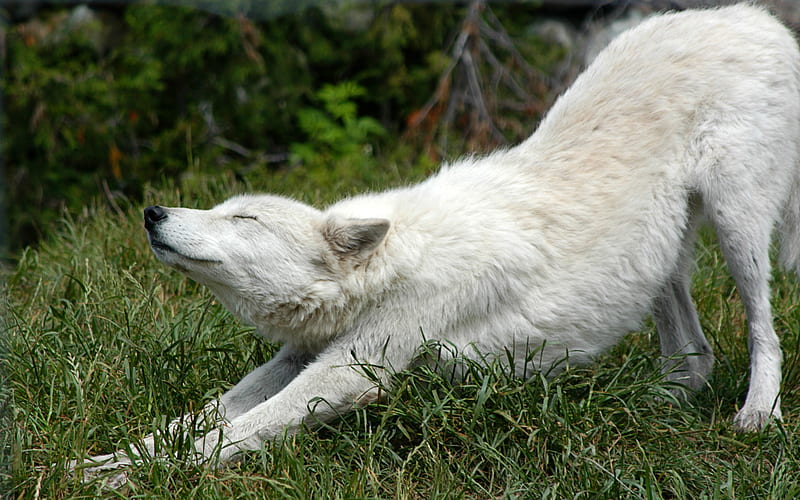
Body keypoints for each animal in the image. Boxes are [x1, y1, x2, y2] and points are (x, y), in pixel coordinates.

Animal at [78, 3, 796, 484]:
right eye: (220, 208)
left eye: (244, 219)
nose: (152, 211)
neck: (393, 267)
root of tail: (756, 17)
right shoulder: (299, 356)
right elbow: (200, 418)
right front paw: (108, 461)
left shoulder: (345, 373)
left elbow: (237, 430)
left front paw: (132, 479)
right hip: (659, 258)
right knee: (695, 355)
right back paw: (644, 409)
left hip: (737, 224)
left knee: (765, 330)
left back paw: (755, 415)